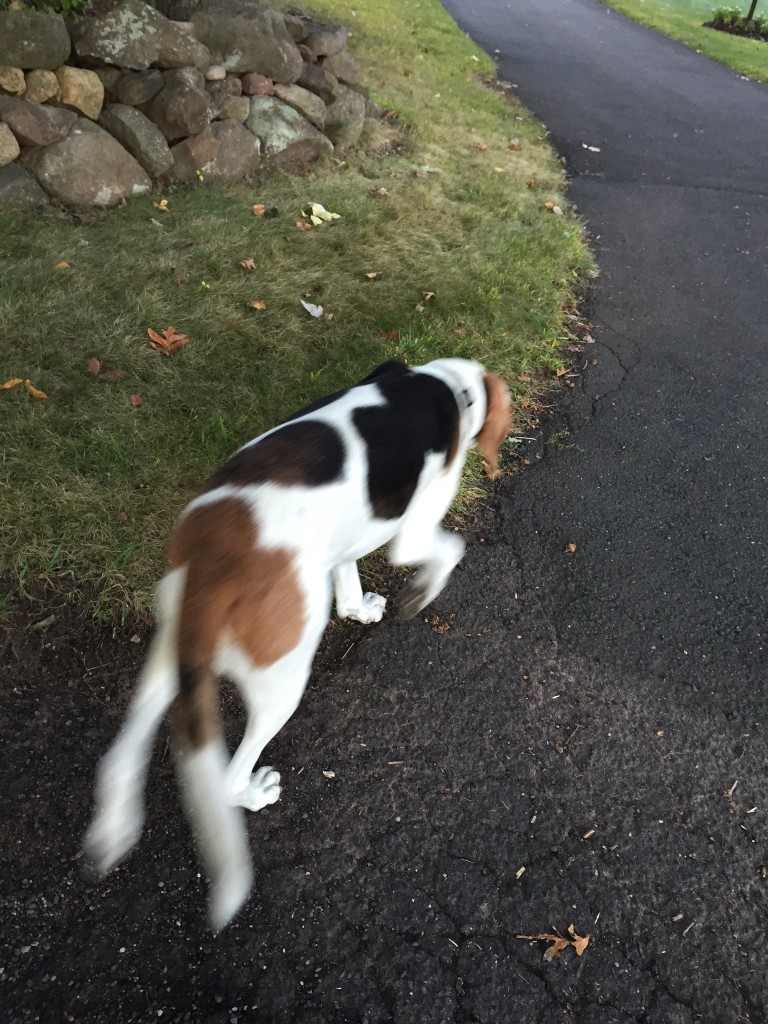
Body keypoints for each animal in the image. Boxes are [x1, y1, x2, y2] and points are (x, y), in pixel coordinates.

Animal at [82, 358, 512, 929]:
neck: (443, 383)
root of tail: (216, 569)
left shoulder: (342, 546)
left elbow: (348, 580)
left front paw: (360, 610)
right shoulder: (414, 535)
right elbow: (448, 550)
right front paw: (420, 594)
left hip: (175, 652)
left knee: (121, 752)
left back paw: (113, 826)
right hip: (281, 683)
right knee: (227, 777)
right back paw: (254, 792)